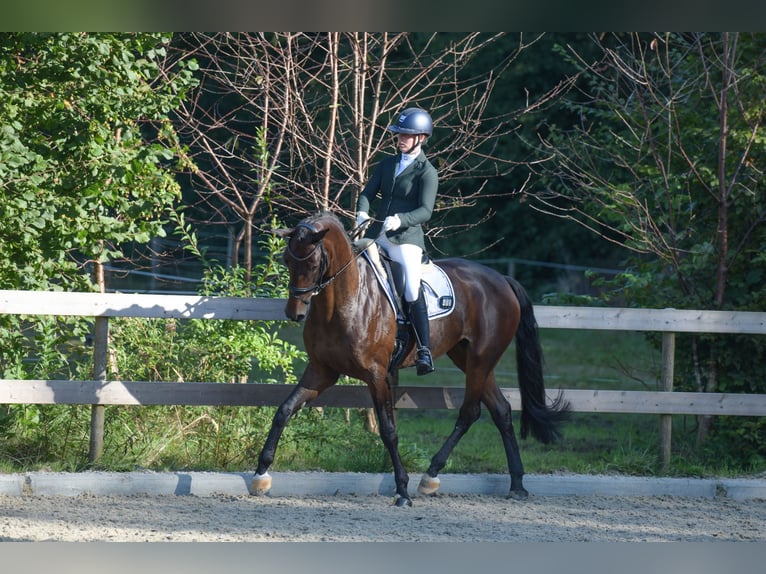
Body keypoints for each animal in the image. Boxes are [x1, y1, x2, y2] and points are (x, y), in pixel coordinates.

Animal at [254, 212, 568, 508]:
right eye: (286, 261)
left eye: (312, 264)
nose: (294, 313)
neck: (346, 300)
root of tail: (502, 279)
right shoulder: (322, 370)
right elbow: (284, 410)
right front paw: (261, 473)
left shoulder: (377, 374)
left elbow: (388, 430)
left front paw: (402, 491)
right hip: (469, 358)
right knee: (501, 410)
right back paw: (516, 484)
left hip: (481, 359)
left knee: (470, 412)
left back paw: (430, 476)